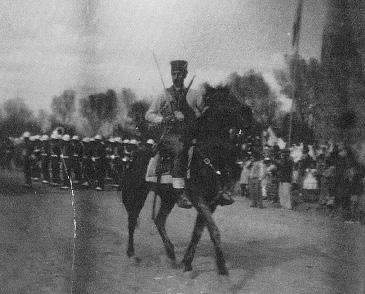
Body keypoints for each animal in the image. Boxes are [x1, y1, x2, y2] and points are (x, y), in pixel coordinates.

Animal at [121, 84, 252, 276]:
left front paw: (187, 262)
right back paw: (132, 254)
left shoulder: (211, 202)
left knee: (159, 220)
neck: (208, 156)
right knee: (132, 221)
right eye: (228, 100)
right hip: (137, 194)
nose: (248, 112)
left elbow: (198, 233)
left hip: (168, 198)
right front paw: (222, 268)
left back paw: (171, 253)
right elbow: (213, 230)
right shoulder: (199, 199)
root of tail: (135, 156)